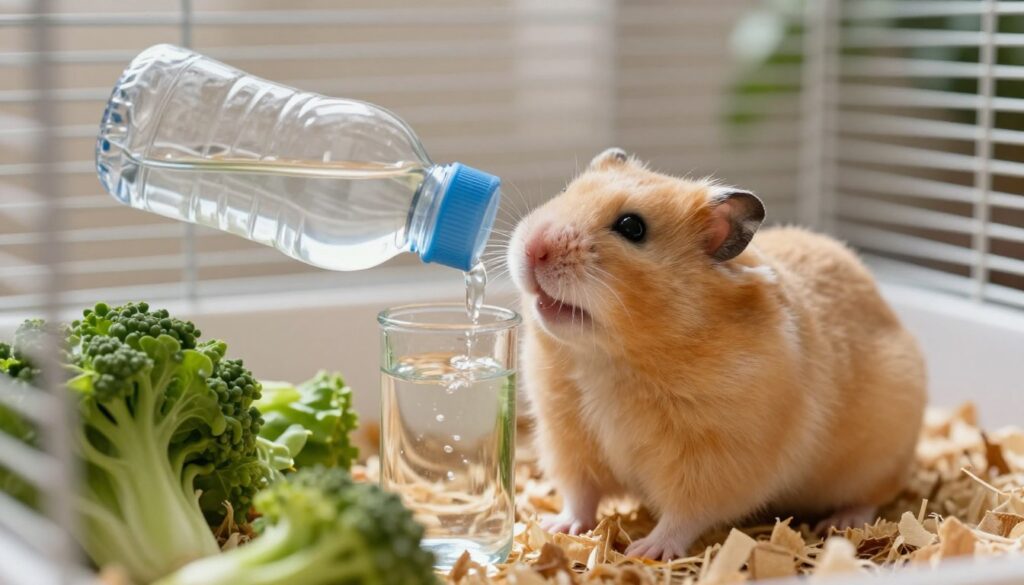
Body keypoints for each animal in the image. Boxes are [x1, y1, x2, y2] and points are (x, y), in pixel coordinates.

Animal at [507, 148, 927, 560]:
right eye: (567, 191)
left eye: (631, 227)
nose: (534, 248)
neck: (609, 360)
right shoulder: (568, 436)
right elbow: (580, 495)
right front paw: (557, 528)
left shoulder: (717, 460)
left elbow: (684, 514)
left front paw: (647, 551)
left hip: (880, 456)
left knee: (872, 496)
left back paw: (842, 522)